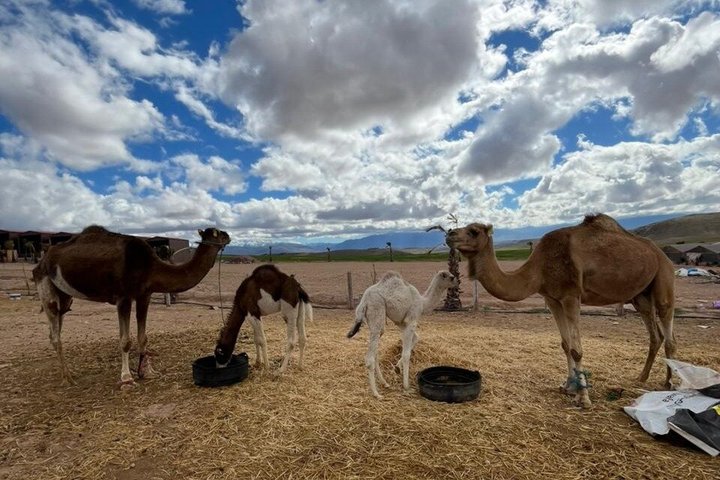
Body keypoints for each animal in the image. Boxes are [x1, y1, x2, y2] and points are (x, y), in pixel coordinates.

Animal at [33, 225, 230, 387]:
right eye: (215, 233)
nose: (228, 236)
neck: (149, 267)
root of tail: (42, 260)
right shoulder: (124, 297)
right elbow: (125, 341)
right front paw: (127, 378)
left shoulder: (145, 295)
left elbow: (143, 337)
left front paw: (148, 372)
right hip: (44, 284)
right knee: (55, 333)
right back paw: (68, 378)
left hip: (64, 295)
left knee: (57, 322)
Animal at [347, 270, 459, 399]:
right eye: (451, 277)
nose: (457, 283)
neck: (422, 303)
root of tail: (363, 301)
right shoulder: (411, 321)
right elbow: (406, 354)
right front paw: (406, 386)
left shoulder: (402, 323)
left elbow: (415, 339)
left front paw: (397, 368)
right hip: (377, 310)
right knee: (369, 357)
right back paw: (376, 394)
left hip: (377, 321)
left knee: (375, 351)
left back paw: (385, 383)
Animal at [446, 213, 676, 408]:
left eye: (474, 231)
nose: (449, 234)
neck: (539, 268)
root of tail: (662, 254)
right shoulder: (552, 299)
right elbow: (565, 345)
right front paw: (568, 387)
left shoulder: (571, 296)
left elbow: (576, 349)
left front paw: (583, 398)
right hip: (640, 296)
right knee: (655, 335)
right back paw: (642, 377)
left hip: (664, 278)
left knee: (669, 332)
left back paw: (669, 384)